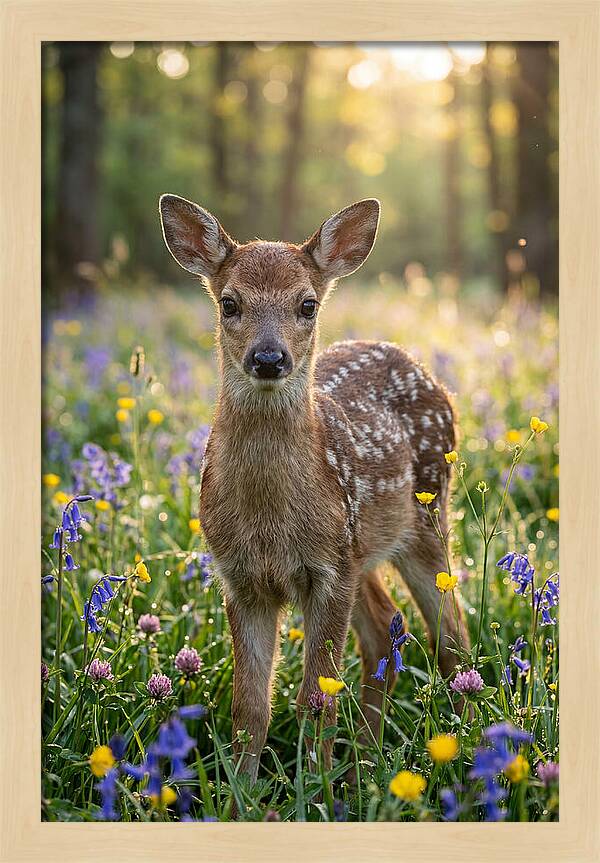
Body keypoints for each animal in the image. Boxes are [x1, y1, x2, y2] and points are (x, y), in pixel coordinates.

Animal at [159, 193, 468, 784]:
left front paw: (314, 789)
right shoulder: (241, 578)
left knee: (453, 640)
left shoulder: (327, 571)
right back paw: (366, 763)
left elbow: (315, 698)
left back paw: (464, 754)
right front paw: (242, 793)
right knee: (385, 629)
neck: (269, 521)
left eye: (307, 305)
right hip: (362, 549)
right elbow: (250, 705)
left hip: (424, 518)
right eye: (229, 303)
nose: (269, 358)